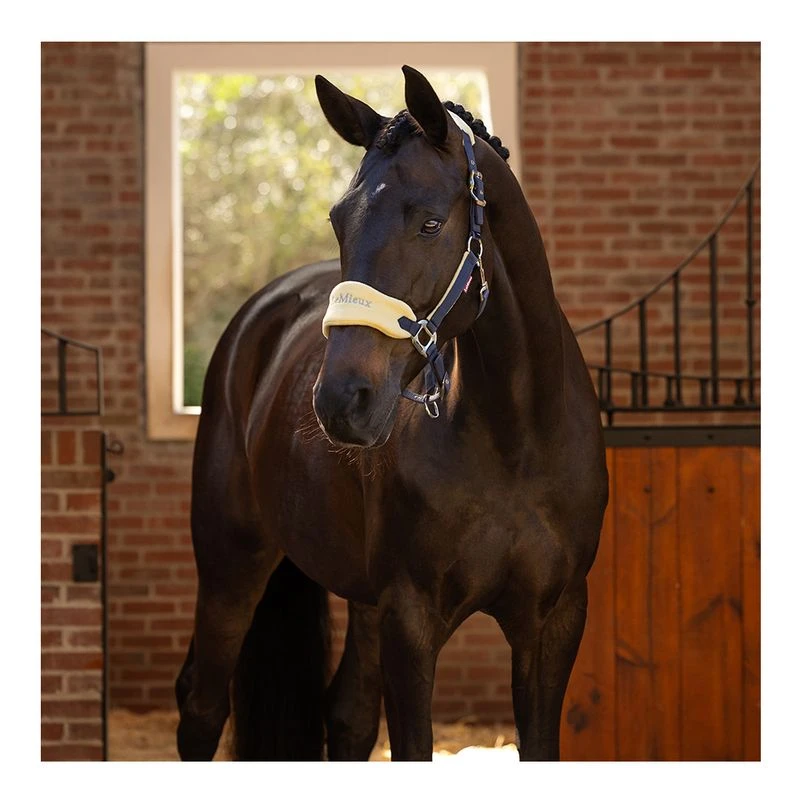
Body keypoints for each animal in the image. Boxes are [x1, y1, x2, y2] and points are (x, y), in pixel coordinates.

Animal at [175, 65, 608, 762]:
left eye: (430, 224)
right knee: (201, 706)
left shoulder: (554, 624)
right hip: (230, 563)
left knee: (347, 715)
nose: (341, 399)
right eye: (338, 221)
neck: (516, 441)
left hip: (361, 601)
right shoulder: (411, 620)